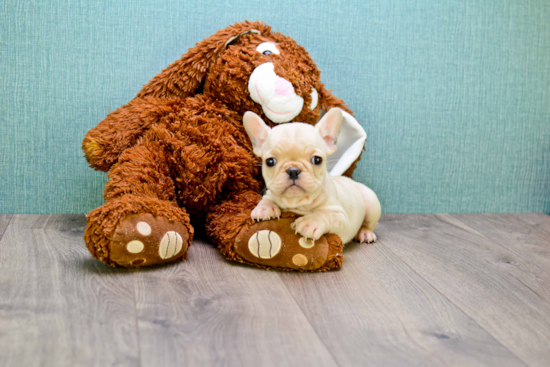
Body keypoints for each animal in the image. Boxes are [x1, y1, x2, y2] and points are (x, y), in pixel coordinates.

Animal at [244, 108, 382, 246]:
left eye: (317, 160)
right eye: (270, 161)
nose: (293, 171)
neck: (297, 203)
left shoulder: (342, 218)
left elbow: (326, 214)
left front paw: (310, 223)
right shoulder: (270, 193)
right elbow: (267, 199)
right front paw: (264, 208)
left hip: (371, 202)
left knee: (368, 224)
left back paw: (365, 233)